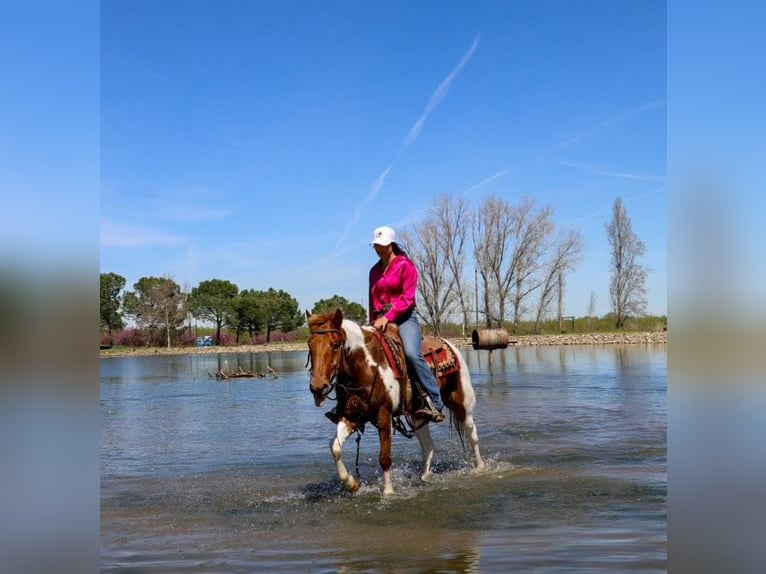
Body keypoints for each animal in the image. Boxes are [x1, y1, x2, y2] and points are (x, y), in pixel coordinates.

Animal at [306, 310, 486, 496]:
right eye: (310, 345)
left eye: (335, 344)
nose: (318, 387)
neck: (366, 368)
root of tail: (449, 344)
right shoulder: (351, 416)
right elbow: (335, 447)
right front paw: (351, 483)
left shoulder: (383, 415)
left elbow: (385, 458)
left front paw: (388, 492)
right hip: (417, 415)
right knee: (428, 445)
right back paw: (424, 477)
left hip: (461, 403)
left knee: (472, 434)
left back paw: (480, 467)